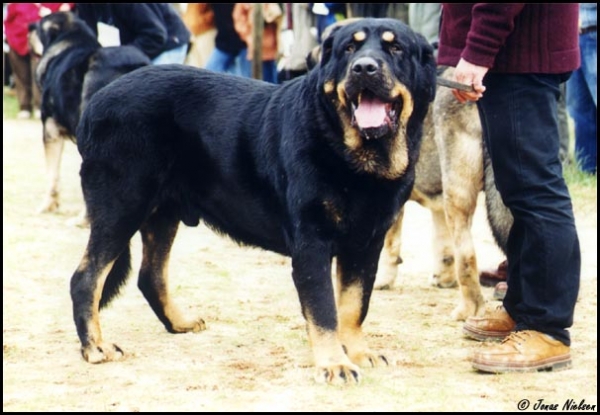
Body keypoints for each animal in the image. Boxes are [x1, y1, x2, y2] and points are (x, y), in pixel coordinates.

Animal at [70, 17, 436, 386]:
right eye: (349, 48)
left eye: (396, 48)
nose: (364, 67)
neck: (352, 158)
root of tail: (93, 106)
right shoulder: (312, 243)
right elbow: (324, 310)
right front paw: (335, 364)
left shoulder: (366, 244)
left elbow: (354, 305)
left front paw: (359, 352)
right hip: (122, 207)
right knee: (86, 278)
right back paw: (95, 347)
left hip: (162, 215)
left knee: (150, 275)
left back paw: (179, 323)